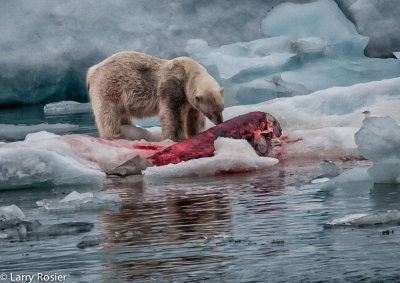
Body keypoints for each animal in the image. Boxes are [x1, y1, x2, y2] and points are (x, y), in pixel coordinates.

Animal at [86, 51, 223, 142]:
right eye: (212, 112)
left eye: (221, 108)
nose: (220, 121)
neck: (189, 72)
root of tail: (92, 70)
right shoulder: (172, 88)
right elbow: (172, 115)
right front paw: (177, 138)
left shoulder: (190, 101)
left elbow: (194, 118)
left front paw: (197, 133)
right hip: (109, 86)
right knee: (108, 113)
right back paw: (117, 136)